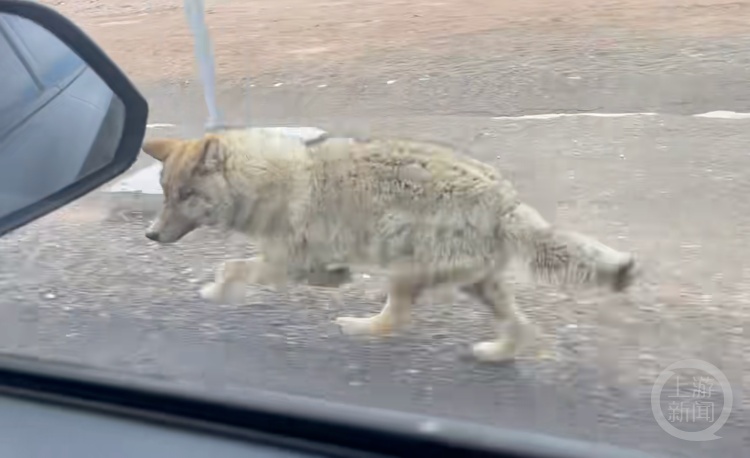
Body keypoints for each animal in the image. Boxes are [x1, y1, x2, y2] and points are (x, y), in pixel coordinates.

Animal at [142, 128, 640, 362]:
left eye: (185, 196)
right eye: (165, 194)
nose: (150, 235)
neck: (266, 180)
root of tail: (505, 199)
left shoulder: (280, 259)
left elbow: (230, 267)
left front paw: (214, 292)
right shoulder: (294, 259)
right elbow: (318, 274)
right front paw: (336, 278)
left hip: (405, 270)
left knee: (395, 318)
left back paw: (356, 327)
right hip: (477, 284)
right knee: (520, 329)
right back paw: (494, 354)